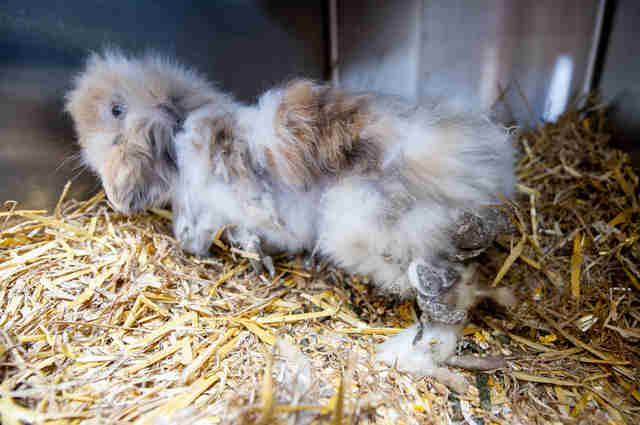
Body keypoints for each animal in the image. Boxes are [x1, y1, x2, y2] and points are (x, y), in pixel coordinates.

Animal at [66, 48, 516, 384]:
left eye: (116, 109)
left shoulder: (213, 206)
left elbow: (230, 232)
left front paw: (241, 259)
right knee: (462, 283)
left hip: (374, 231)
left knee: (441, 293)